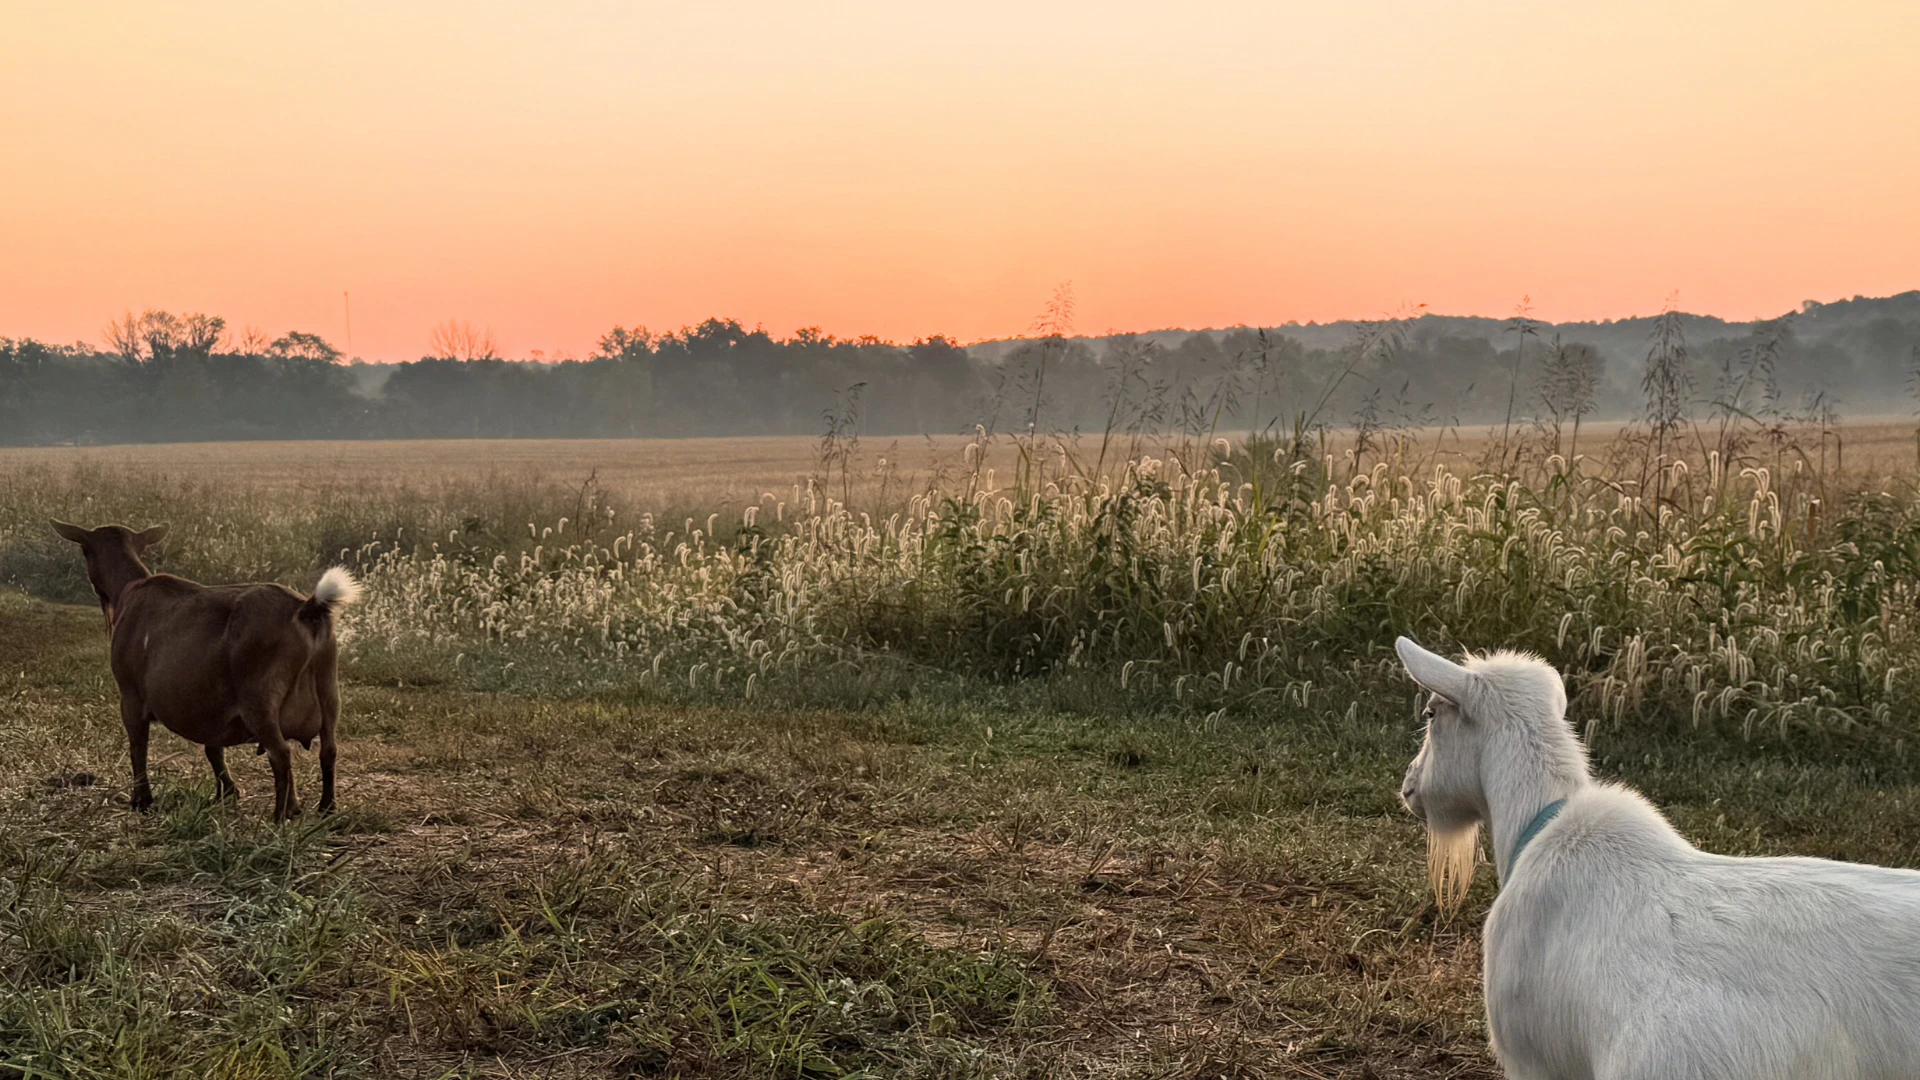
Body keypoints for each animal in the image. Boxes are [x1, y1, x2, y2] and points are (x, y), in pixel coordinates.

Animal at [53, 520, 361, 821]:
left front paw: (142, 800)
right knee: (329, 750)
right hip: (329, 690)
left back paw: (280, 815)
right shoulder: (213, 709)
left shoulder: (130, 695)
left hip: (259, 698)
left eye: (84, 550)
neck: (131, 589)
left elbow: (138, 745)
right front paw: (229, 793)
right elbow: (214, 749)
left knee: (281, 753)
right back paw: (325, 808)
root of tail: (306, 609)